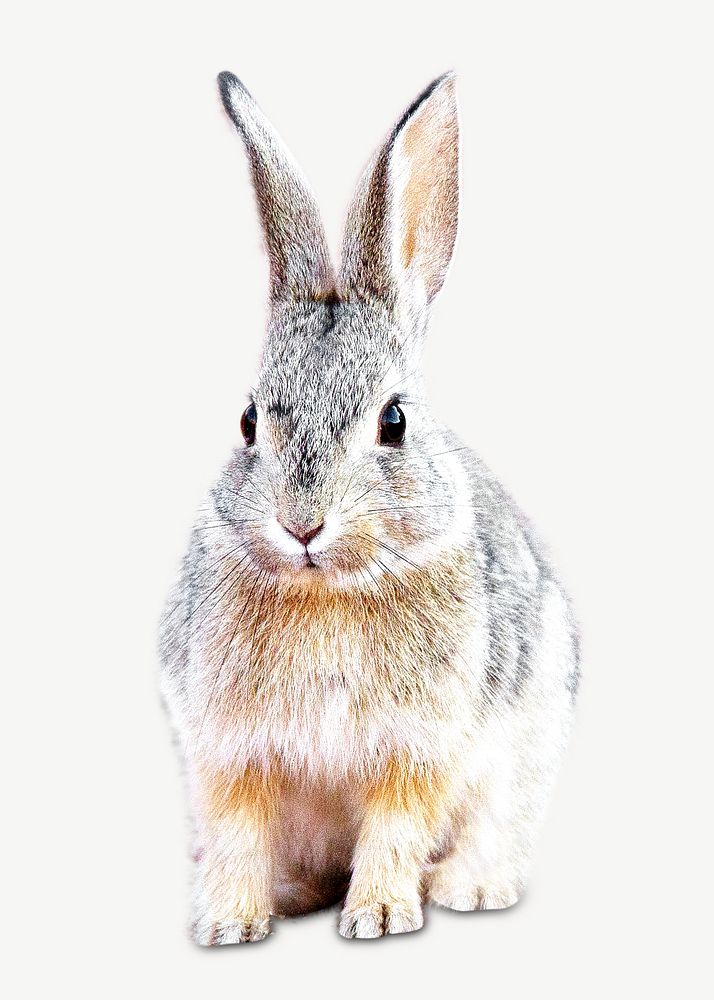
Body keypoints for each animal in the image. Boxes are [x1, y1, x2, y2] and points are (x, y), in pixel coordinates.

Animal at [159, 69, 580, 944]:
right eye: (248, 420)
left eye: (394, 422)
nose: (301, 524)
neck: (327, 590)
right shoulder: (229, 750)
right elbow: (238, 830)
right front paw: (230, 925)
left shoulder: (419, 747)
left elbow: (395, 825)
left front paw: (380, 914)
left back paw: (469, 889)